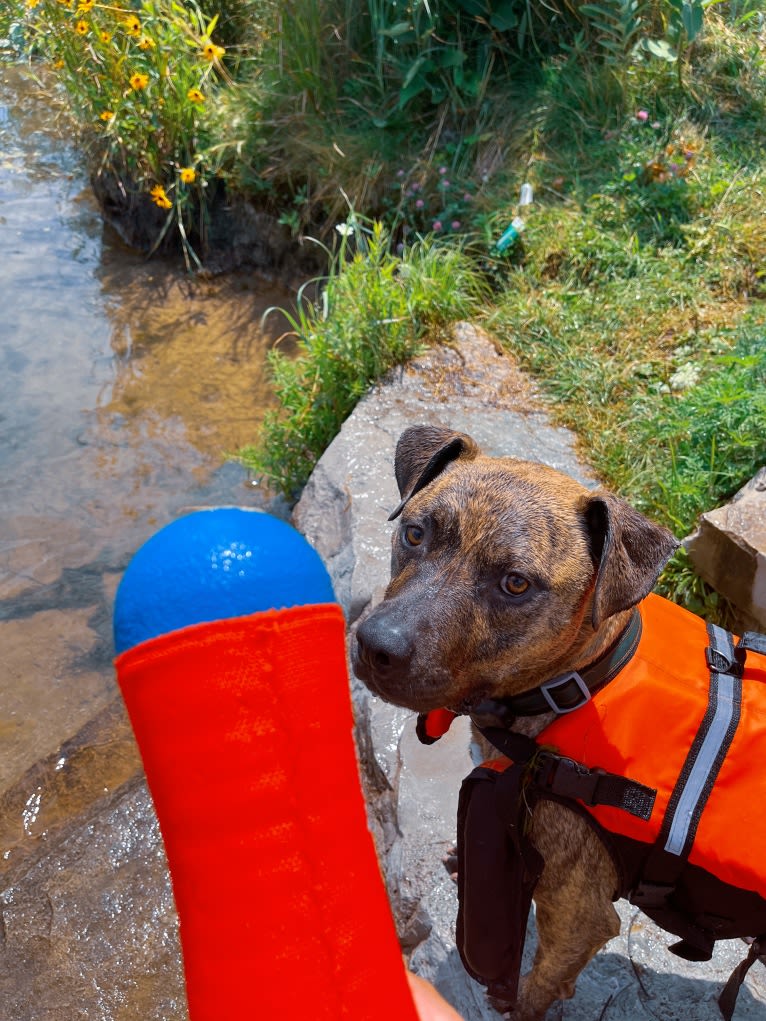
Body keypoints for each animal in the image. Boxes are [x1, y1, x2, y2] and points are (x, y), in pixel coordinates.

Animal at [351, 422, 682, 1021]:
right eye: (414, 533)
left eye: (516, 584)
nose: (376, 645)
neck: (573, 684)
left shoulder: (580, 913)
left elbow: (540, 983)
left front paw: (520, 1002)